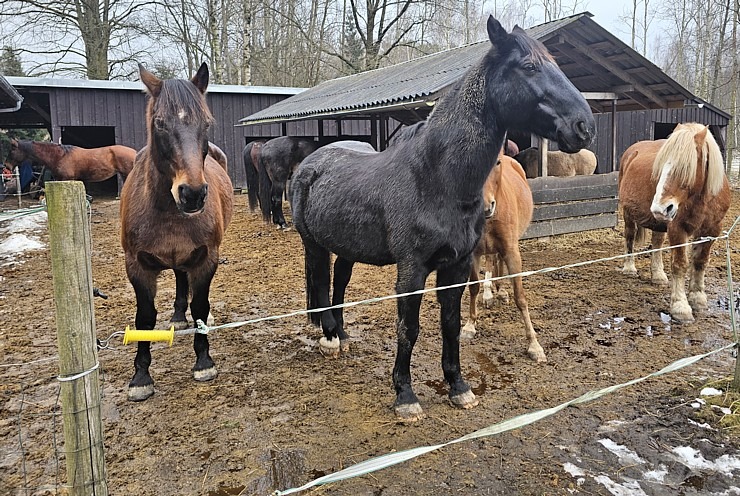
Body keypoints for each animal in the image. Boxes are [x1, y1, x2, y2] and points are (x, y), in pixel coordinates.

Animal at [120, 63, 234, 404]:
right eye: (159, 123)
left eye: (207, 122)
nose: (192, 194)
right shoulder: (137, 266)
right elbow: (144, 318)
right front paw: (141, 378)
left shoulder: (206, 259)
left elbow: (201, 306)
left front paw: (204, 362)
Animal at [462, 149, 544, 362]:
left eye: (496, 162)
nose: (485, 206)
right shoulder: (473, 254)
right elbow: (473, 287)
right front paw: (470, 325)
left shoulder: (512, 252)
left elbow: (520, 297)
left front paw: (534, 345)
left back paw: (499, 291)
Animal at [620, 123, 728, 324]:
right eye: (661, 166)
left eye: (685, 167)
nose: (659, 208)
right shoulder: (678, 229)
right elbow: (680, 264)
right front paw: (681, 307)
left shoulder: (712, 229)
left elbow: (700, 262)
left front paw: (698, 298)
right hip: (628, 213)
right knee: (629, 237)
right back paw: (629, 268)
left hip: (660, 222)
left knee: (657, 243)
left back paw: (658, 275)